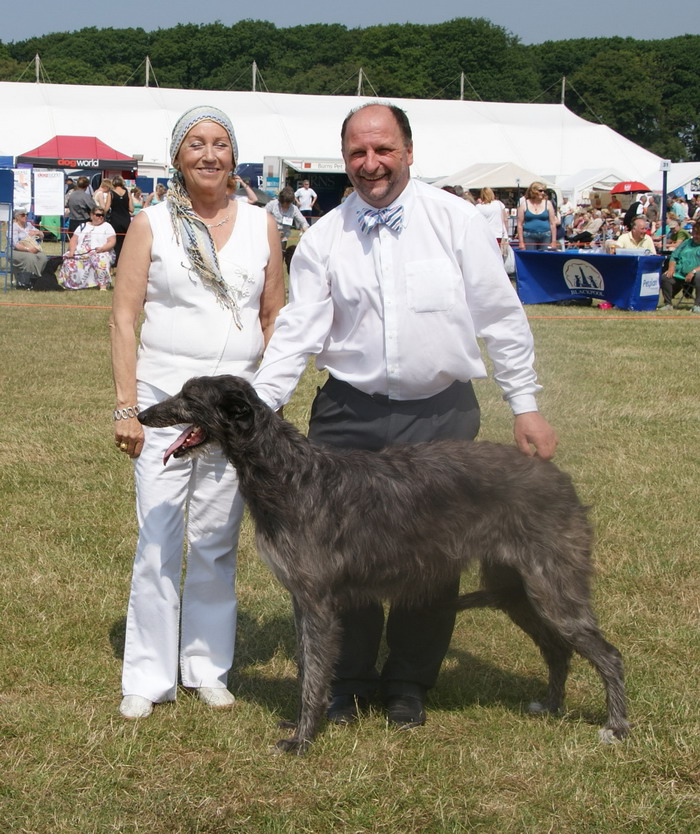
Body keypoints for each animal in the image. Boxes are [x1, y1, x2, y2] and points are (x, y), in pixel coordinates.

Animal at [138, 374, 628, 752]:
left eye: (189, 396)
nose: (141, 416)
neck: (287, 472)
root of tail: (557, 476)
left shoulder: (318, 601)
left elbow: (314, 672)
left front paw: (302, 740)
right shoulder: (303, 599)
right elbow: (309, 667)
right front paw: (302, 725)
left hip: (552, 583)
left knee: (607, 654)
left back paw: (616, 728)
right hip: (516, 588)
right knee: (557, 649)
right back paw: (552, 707)